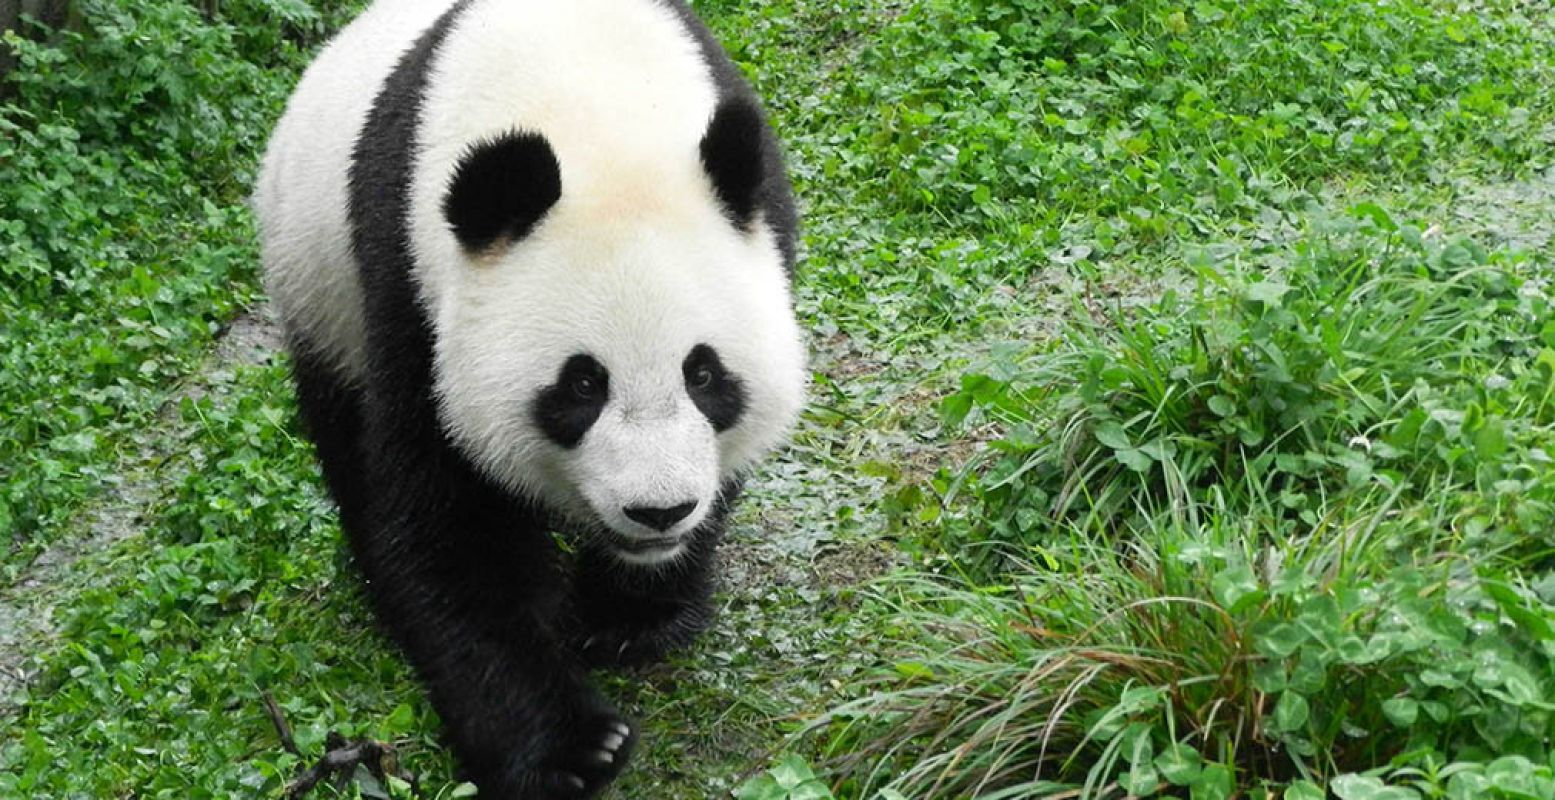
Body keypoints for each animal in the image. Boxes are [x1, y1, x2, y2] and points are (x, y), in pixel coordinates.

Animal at [251, 1, 802, 790]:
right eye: (582, 384)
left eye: (703, 375)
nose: (658, 511)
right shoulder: (410, 293)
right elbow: (449, 521)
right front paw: (571, 748)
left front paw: (630, 617)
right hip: (318, 288)